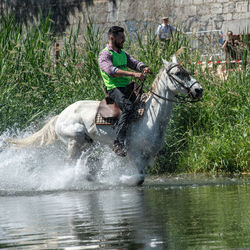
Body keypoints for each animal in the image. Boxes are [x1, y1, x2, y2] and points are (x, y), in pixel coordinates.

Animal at [8, 57, 203, 186]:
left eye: (188, 71)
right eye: (178, 73)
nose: (198, 90)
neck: (150, 115)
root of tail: (60, 116)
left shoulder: (148, 156)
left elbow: (142, 177)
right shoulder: (134, 153)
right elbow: (138, 178)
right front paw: (123, 179)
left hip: (87, 143)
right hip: (74, 140)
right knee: (67, 164)